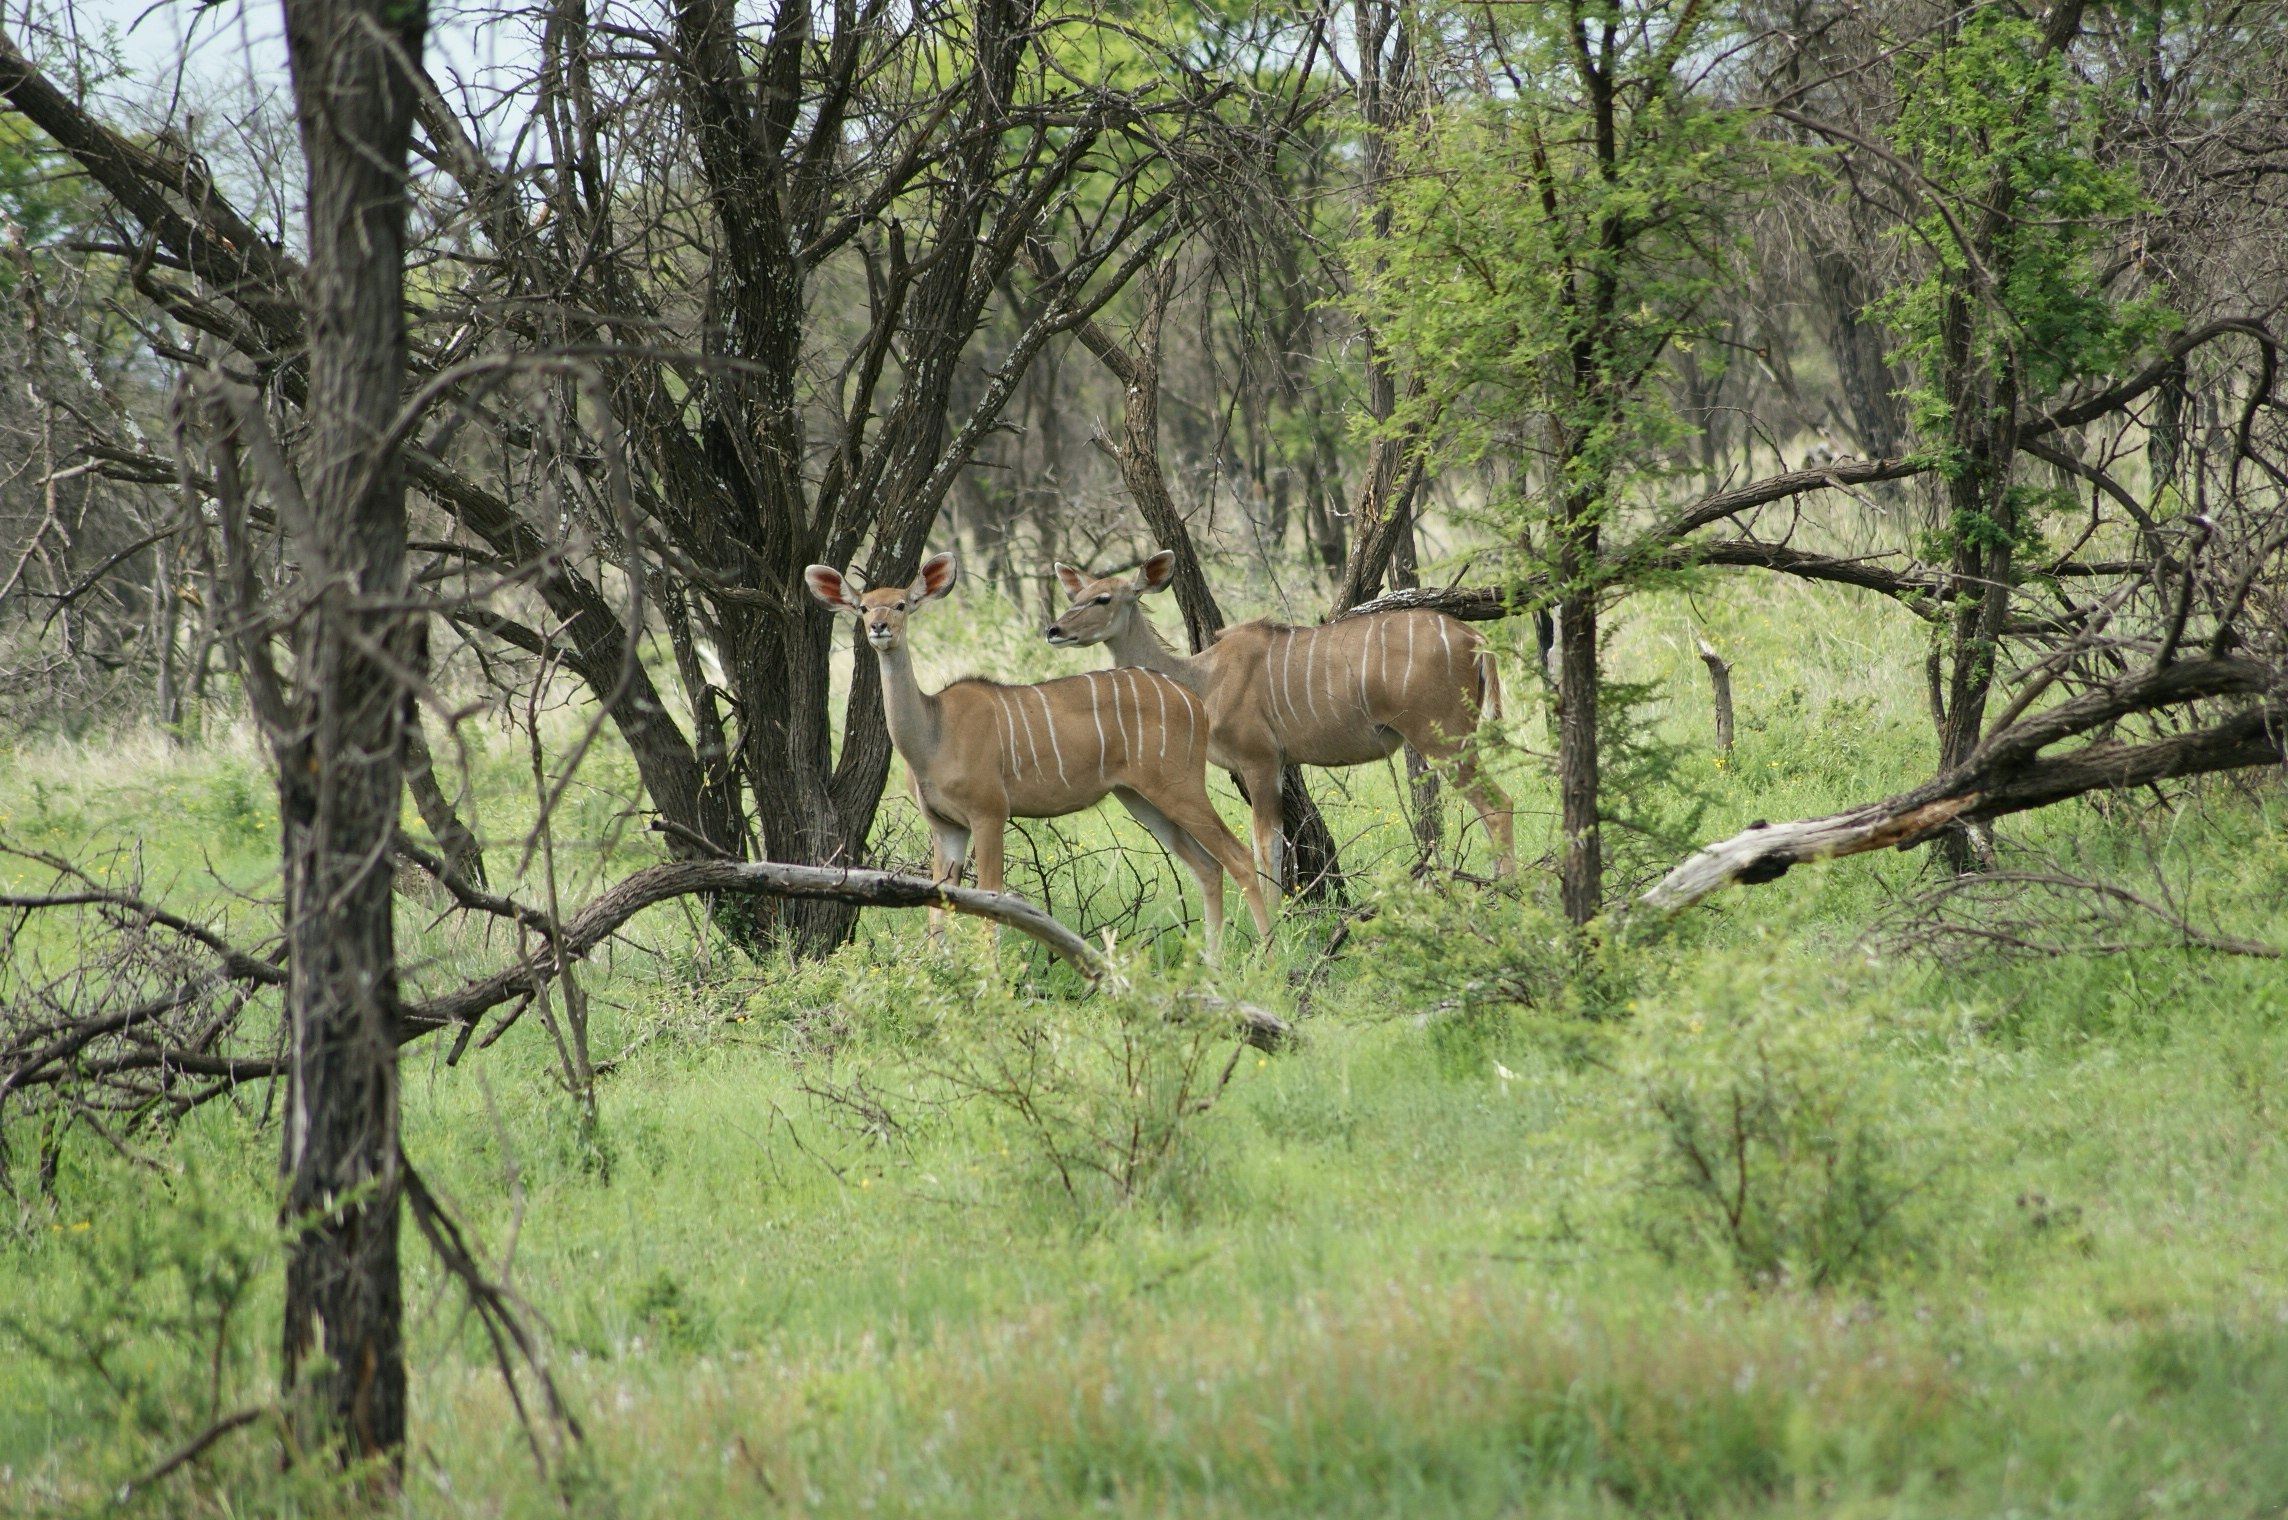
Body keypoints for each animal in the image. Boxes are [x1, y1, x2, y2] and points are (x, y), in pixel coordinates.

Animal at [805, 552, 1272, 959]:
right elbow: (939, 907)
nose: (880, 627)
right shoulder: (945, 826)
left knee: (1239, 855)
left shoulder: (989, 813)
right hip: (1140, 799)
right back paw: (1212, 962)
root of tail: (1193, 702)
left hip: (1179, 786)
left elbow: (992, 903)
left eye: (902, 604)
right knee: (1207, 866)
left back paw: (1267, 958)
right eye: (863, 606)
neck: (933, 734)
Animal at [1045, 552, 1515, 889]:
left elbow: (1264, 849)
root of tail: (1474, 637)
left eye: (1103, 599)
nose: (1053, 630)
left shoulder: (1259, 761)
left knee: (1497, 805)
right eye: (1075, 598)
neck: (1204, 678)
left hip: (1445, 739)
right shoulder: (1273, 766)